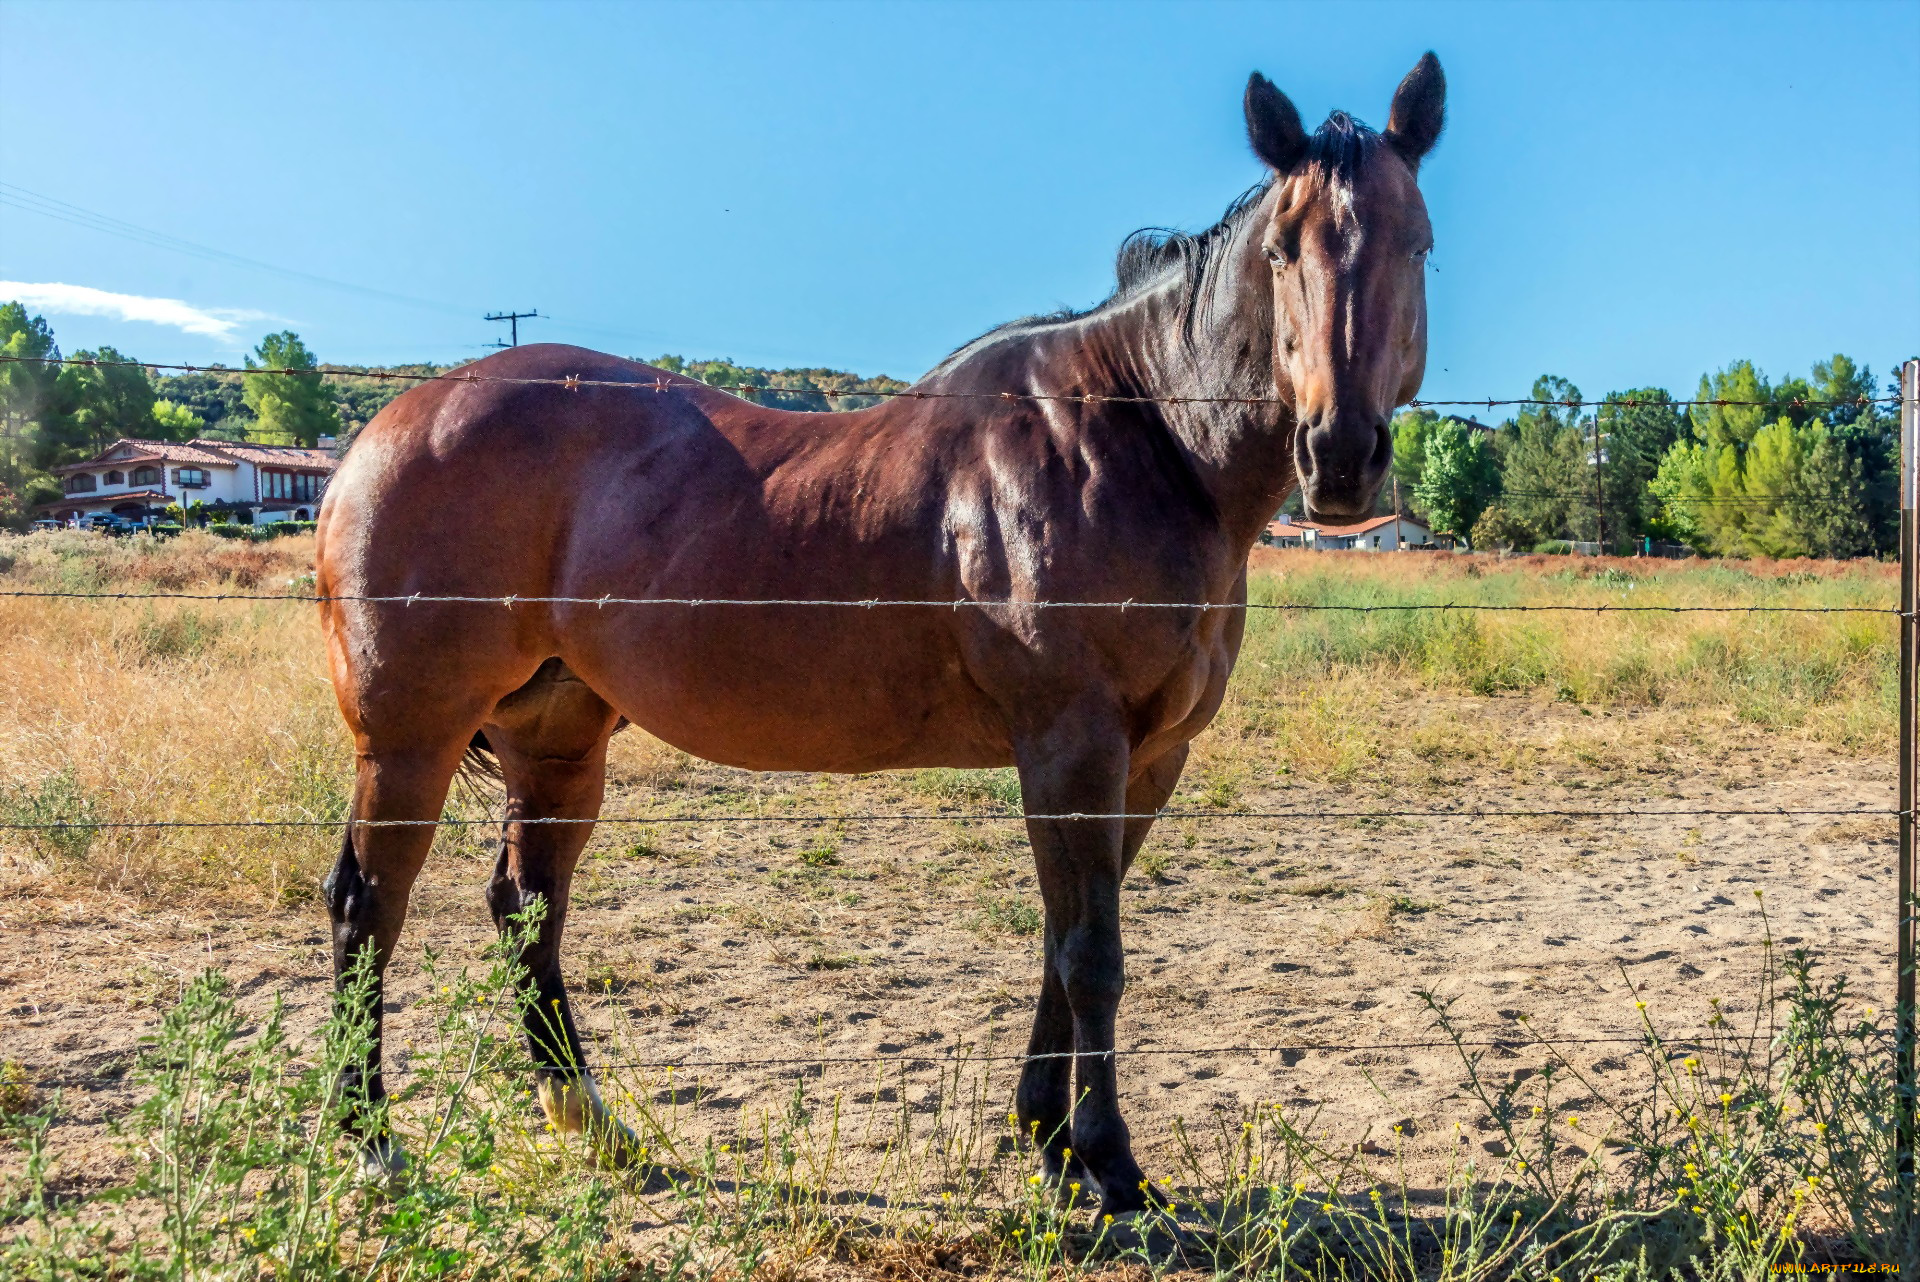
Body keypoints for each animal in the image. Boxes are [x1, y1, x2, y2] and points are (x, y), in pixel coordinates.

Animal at [318, 52, 1443, 1212]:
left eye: (1417, 243)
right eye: (1280, 251)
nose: (1341, 457)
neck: (1138, 442)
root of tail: (385, 431)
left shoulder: (1149, 758)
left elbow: (1063, 941)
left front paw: (1045, 1135)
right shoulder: (1073, 746)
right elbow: (1093, 953)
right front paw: (1110, 1165)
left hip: (557, 738)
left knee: (525, 907)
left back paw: (593, 1124)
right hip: (410, 737)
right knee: (368, 903)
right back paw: (369, 1139)